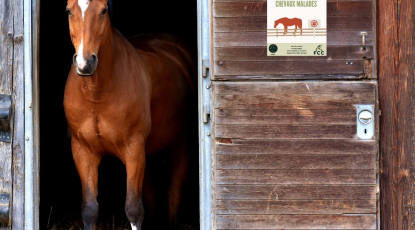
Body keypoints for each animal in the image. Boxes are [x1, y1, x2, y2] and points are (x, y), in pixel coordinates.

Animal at [63, 0, 197, 229]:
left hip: (180, 141)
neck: (97, 93)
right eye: (69, 11)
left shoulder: (133, 149)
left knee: (174, 192)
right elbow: (89, 209)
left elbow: (133, 208)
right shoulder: (82, 151)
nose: (85, 63)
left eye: (103, 10)